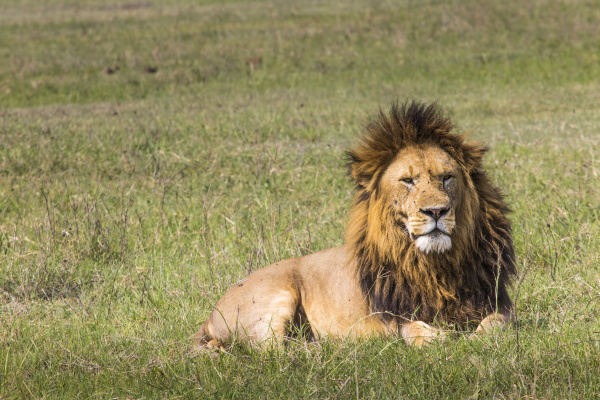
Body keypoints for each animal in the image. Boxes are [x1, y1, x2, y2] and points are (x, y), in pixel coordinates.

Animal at [192, 100, 516, 350]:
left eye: (447, 177)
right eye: (408, 181)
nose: (436, 210)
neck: (436, 265)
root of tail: (210, 315)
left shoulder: (498, 303)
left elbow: (497, 324)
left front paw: (477, 339)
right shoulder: (391, 317)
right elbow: (413, 328)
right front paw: (437, 338)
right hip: (276, 299)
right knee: (272, 353)